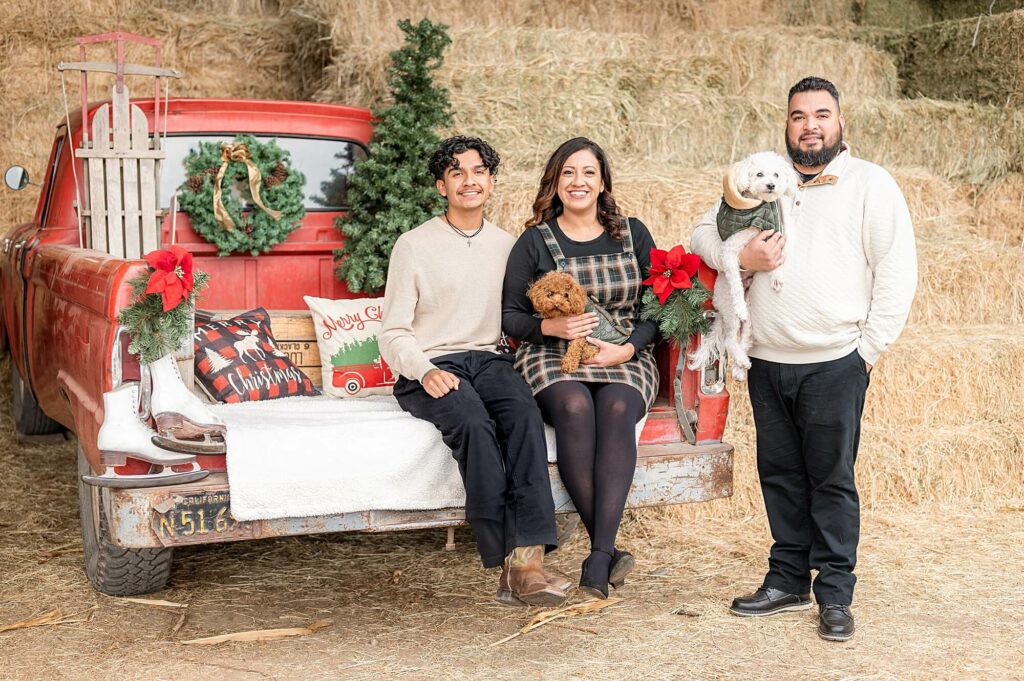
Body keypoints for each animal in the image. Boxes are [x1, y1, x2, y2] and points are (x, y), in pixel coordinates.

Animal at [688, 150, 798, 378]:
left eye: (776, 174)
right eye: (759, 174)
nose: (771, 185)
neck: (758, 208)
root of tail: (719, 310)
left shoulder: (776, 237)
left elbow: (778, 262)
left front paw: (777, 278)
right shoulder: (730, 251)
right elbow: (735, 284)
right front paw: (739, 300)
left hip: (750, 319)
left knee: (744, 339)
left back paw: (740, 367)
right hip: (730, 312)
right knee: (730, 339)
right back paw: (740, 359)